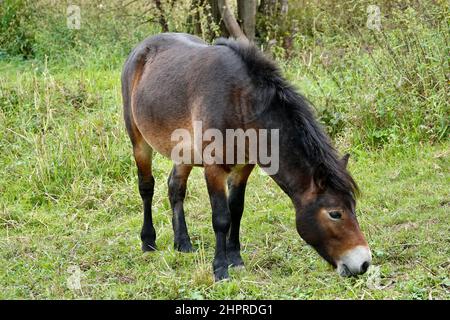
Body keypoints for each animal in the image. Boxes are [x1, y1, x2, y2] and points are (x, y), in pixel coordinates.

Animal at [121, 33, 370, 282]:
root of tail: (141, 48)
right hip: (139, 143)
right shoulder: (214, 169)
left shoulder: (243, 168)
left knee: (176, 188)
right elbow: (221, 218)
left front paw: (235, 259)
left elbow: (236, 210)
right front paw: (220, 268)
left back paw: (182, 243)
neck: (240, 102)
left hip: (183, 153)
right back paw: (148, 242)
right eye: (335, 214)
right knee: (147, 188)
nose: (364, 263)